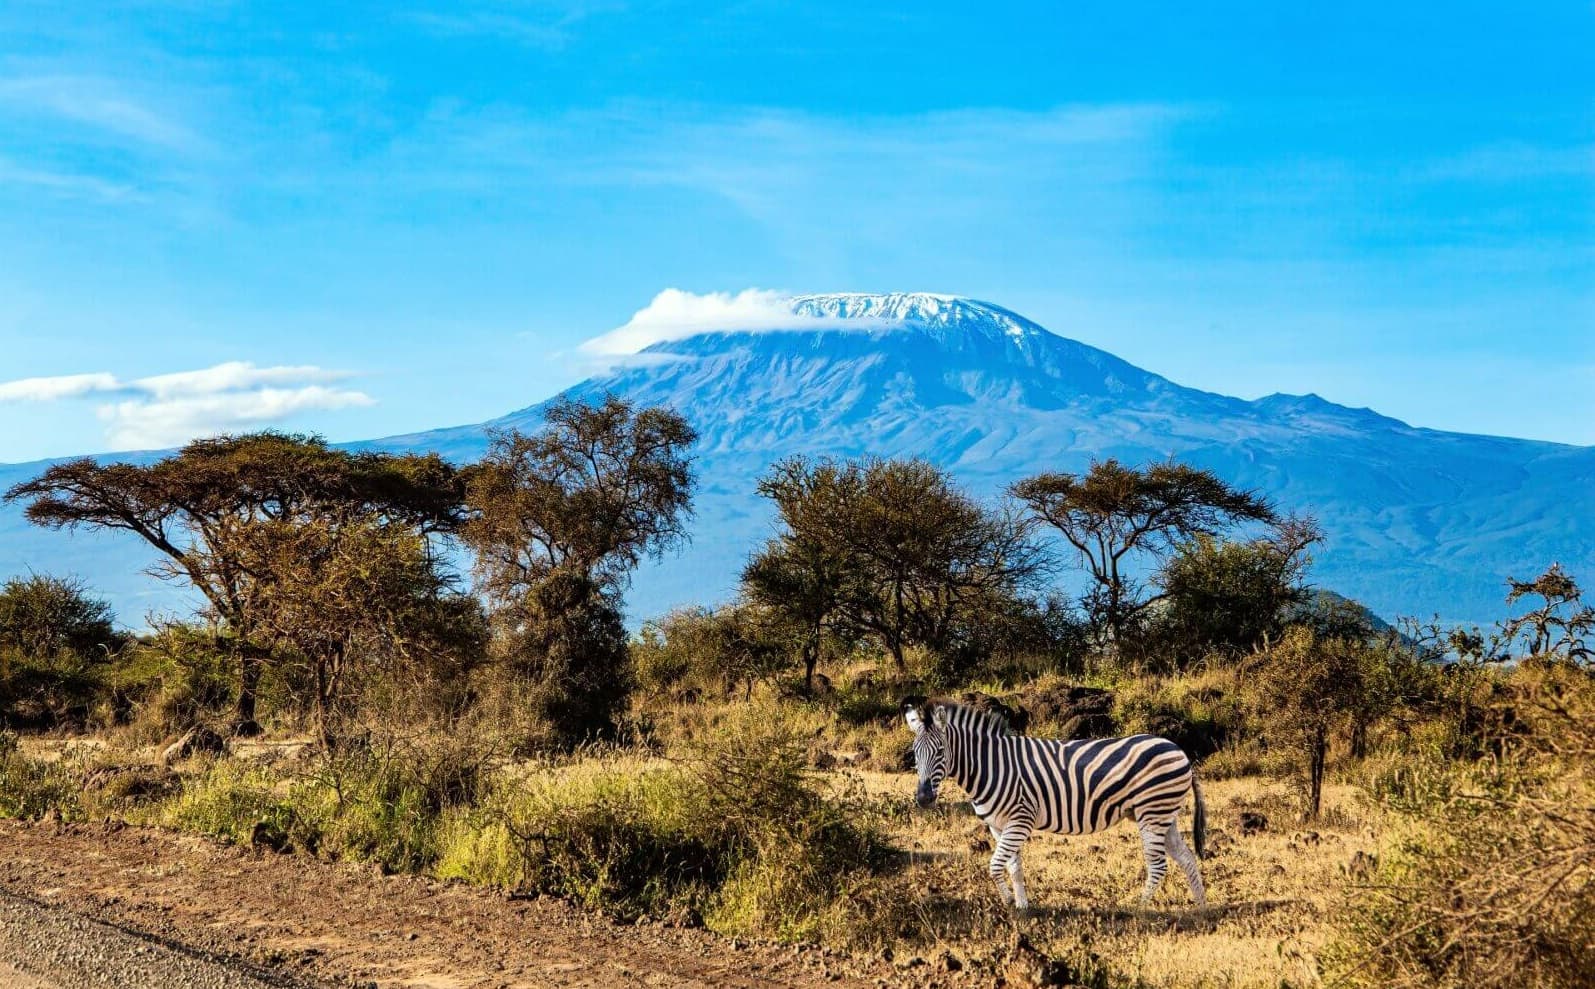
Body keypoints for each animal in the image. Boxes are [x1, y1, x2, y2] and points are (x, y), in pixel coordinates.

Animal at [905, 695, 1199, 912]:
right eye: (915, 754)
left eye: (940, 752)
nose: (924, 798)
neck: (992, 766)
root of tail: (1178, 749)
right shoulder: (998, 825)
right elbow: (1013, 866)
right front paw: (1022, 907)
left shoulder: (1020, 820)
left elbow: (995, 865)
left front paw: (1009, 903)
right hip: (1164, 815)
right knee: (1186, 857)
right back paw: (1201, 907)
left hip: (1152, 812)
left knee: (1158, 865)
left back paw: (1140, 908)